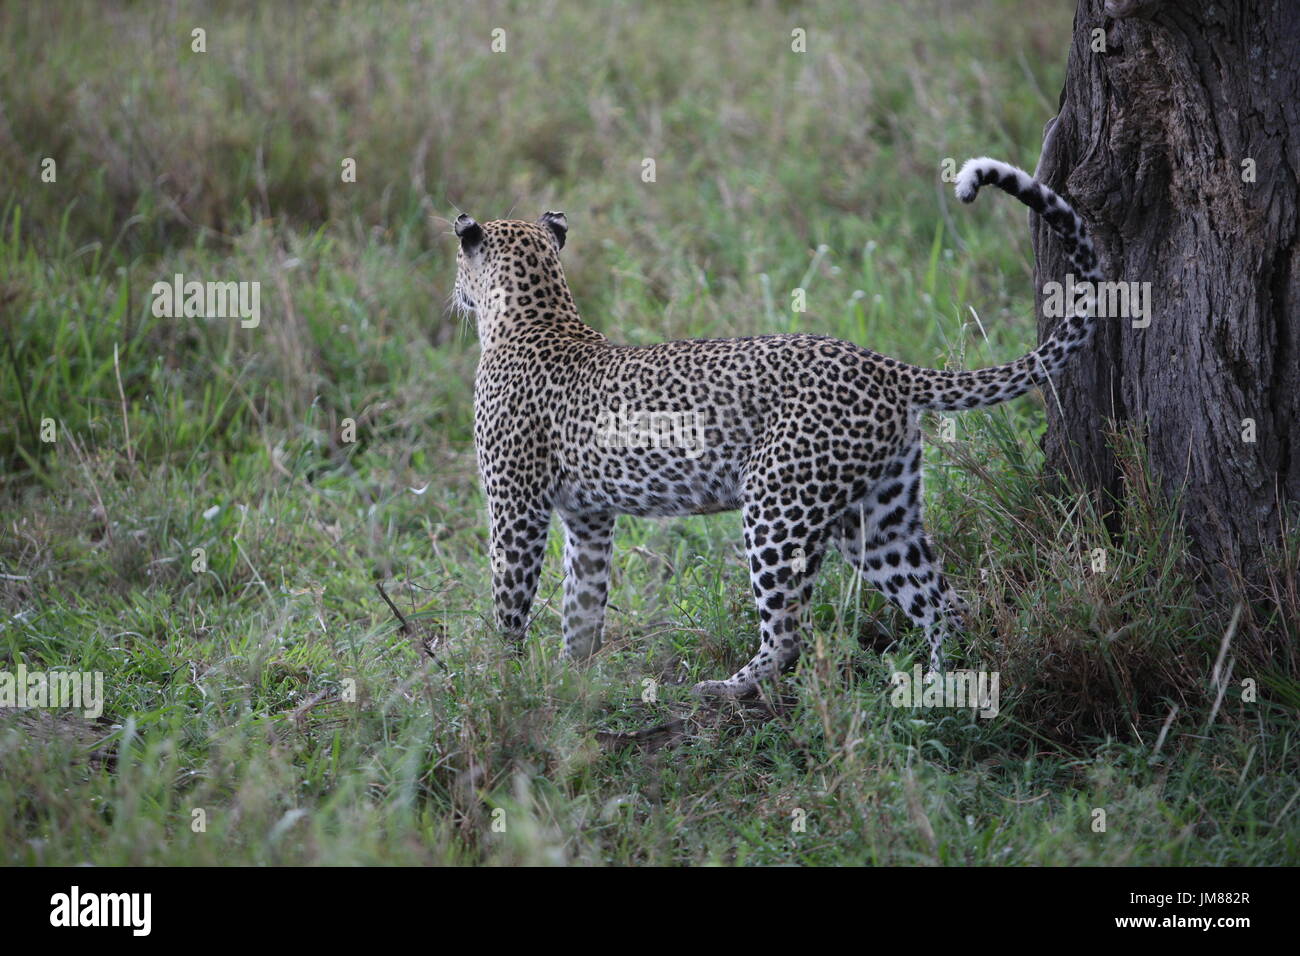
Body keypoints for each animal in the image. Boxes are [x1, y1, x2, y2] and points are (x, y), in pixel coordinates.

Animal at [452, 157, 1102, 698]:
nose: (454, 294)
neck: (533, 313)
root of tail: (882, 364)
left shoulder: (515, 505)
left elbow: (510, 599)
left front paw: (502, 682)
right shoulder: (589, 516)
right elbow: (582, 605)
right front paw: (571, 681)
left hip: (776, 504)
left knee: (791, 632)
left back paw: (726, 687)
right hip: (877, 516)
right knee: (943, 605)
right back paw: (940, 696)